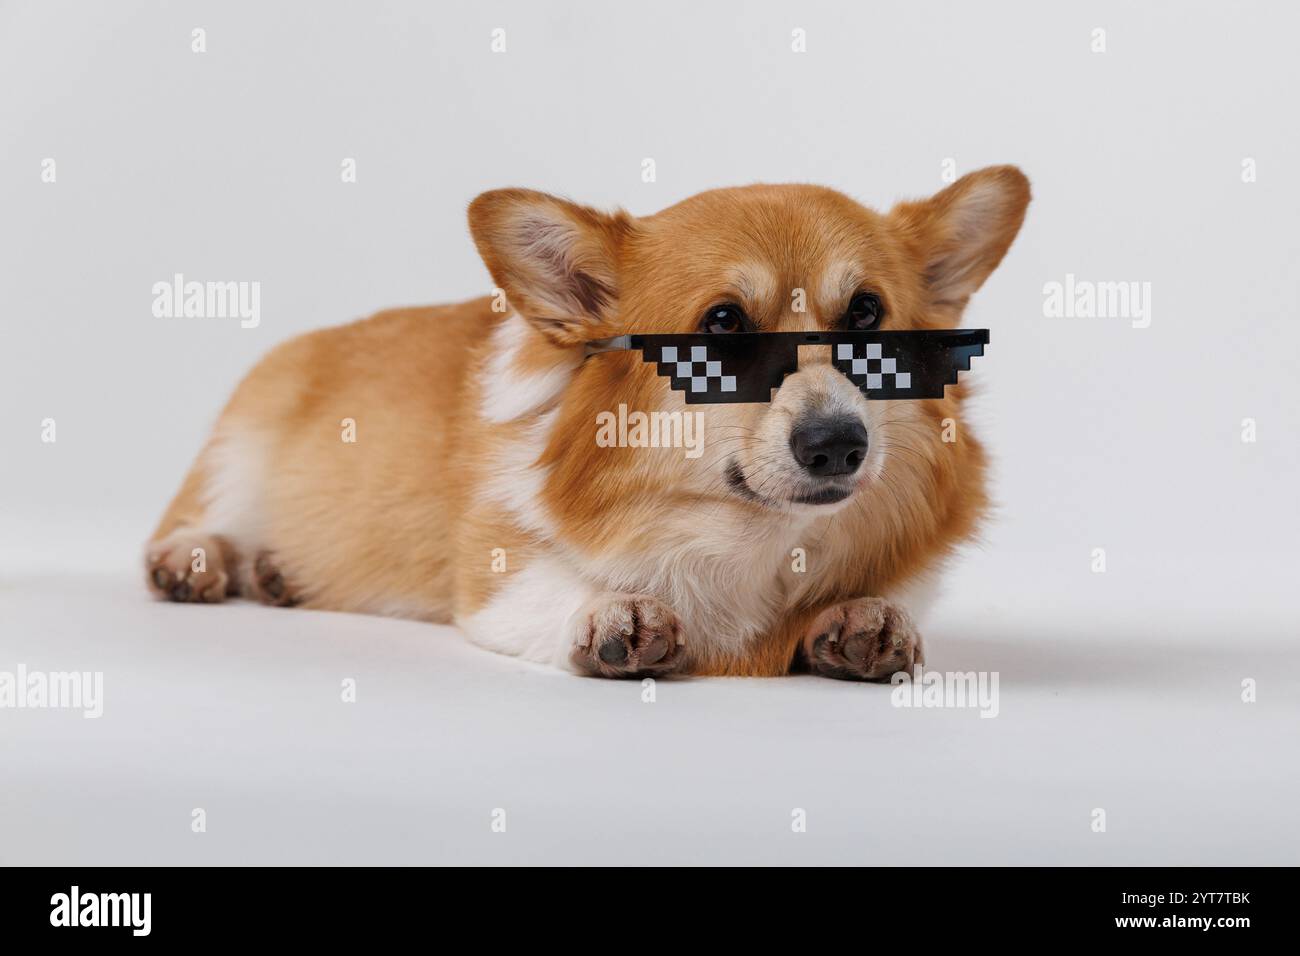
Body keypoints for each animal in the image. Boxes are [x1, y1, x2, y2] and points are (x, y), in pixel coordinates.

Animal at [144, 164, 1024, 681]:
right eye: (724, 324)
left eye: (868, 314)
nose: (839, 445)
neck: (747, 538)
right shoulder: (495, 570)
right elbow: (562, 584)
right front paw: (611, 609)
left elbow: (884, 602)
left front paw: (862, 617)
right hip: (237, 448)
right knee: (190, 518)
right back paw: (201, 559)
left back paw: (276, 574)